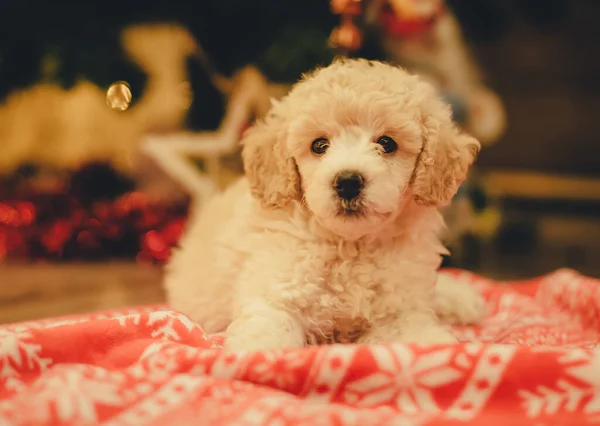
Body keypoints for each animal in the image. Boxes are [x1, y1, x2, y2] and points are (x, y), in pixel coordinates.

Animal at [166, 58, 486, 350]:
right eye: (319, 145)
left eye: (387, 143)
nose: (348, 182)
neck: (350, 246)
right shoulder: (275, 293)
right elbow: (267, 333)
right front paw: (257, 357)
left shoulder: (400, 306)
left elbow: (417, 332)